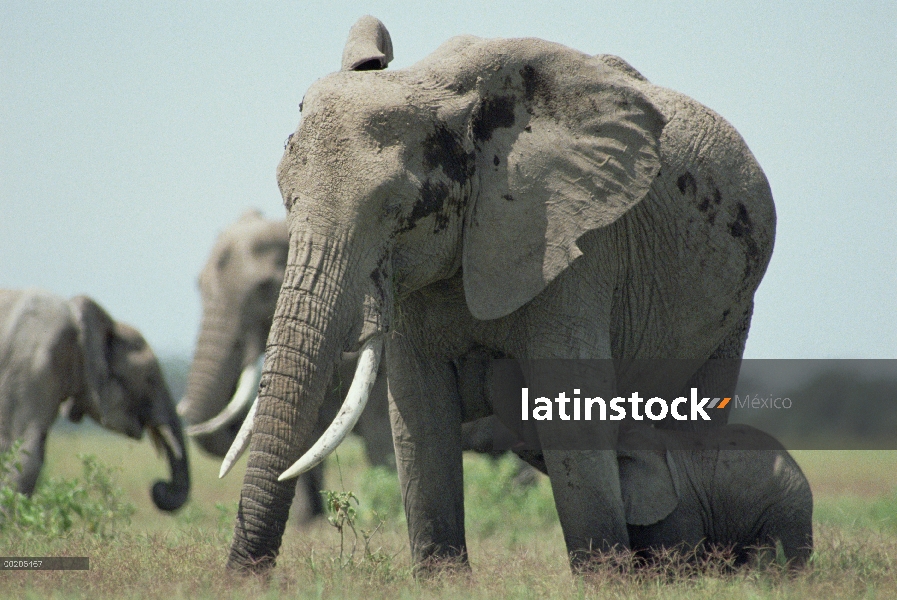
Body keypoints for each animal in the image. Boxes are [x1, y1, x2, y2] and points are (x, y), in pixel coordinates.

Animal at [228, 16, 772, 576]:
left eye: (397, 208)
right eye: (284, 196)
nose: (244, 578)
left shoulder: (575, 247)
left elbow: (569, 414)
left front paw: (605, 579)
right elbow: (419, 413)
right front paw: (444, 580)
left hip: (734, 306)